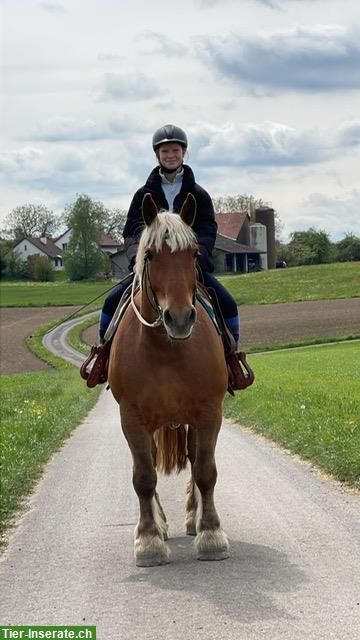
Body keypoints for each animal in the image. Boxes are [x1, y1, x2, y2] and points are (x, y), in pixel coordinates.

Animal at [108, 192, 229, 568]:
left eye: (193, 254)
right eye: (149, 255)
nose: (179, 318)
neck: (165, 348)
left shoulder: (209, 411)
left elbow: (206, 471)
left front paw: (211, 534)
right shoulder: (131, 418)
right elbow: (143, 477)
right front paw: (148, 541)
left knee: (193, 459)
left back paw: (192, 517)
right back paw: (159, 525)